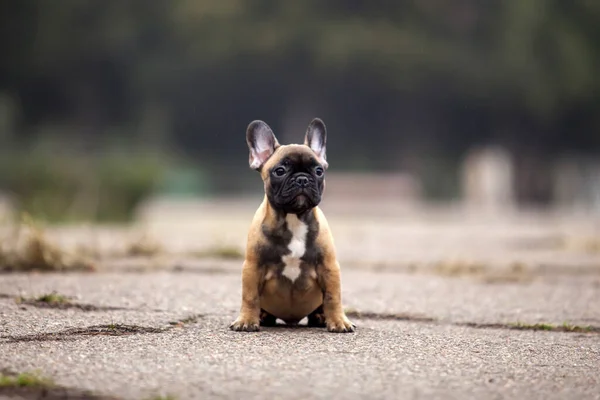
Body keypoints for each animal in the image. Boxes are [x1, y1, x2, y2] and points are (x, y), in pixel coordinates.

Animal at [229, 117, 352, 332]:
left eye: (319, 171)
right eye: (280, 170)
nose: (302, 178)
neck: (294, 217)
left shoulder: (329, 267)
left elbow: (333, 297)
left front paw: (338, 321)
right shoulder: (253, 267)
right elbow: (250, 296)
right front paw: (246, 320)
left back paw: (320, 317)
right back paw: (262, 316)